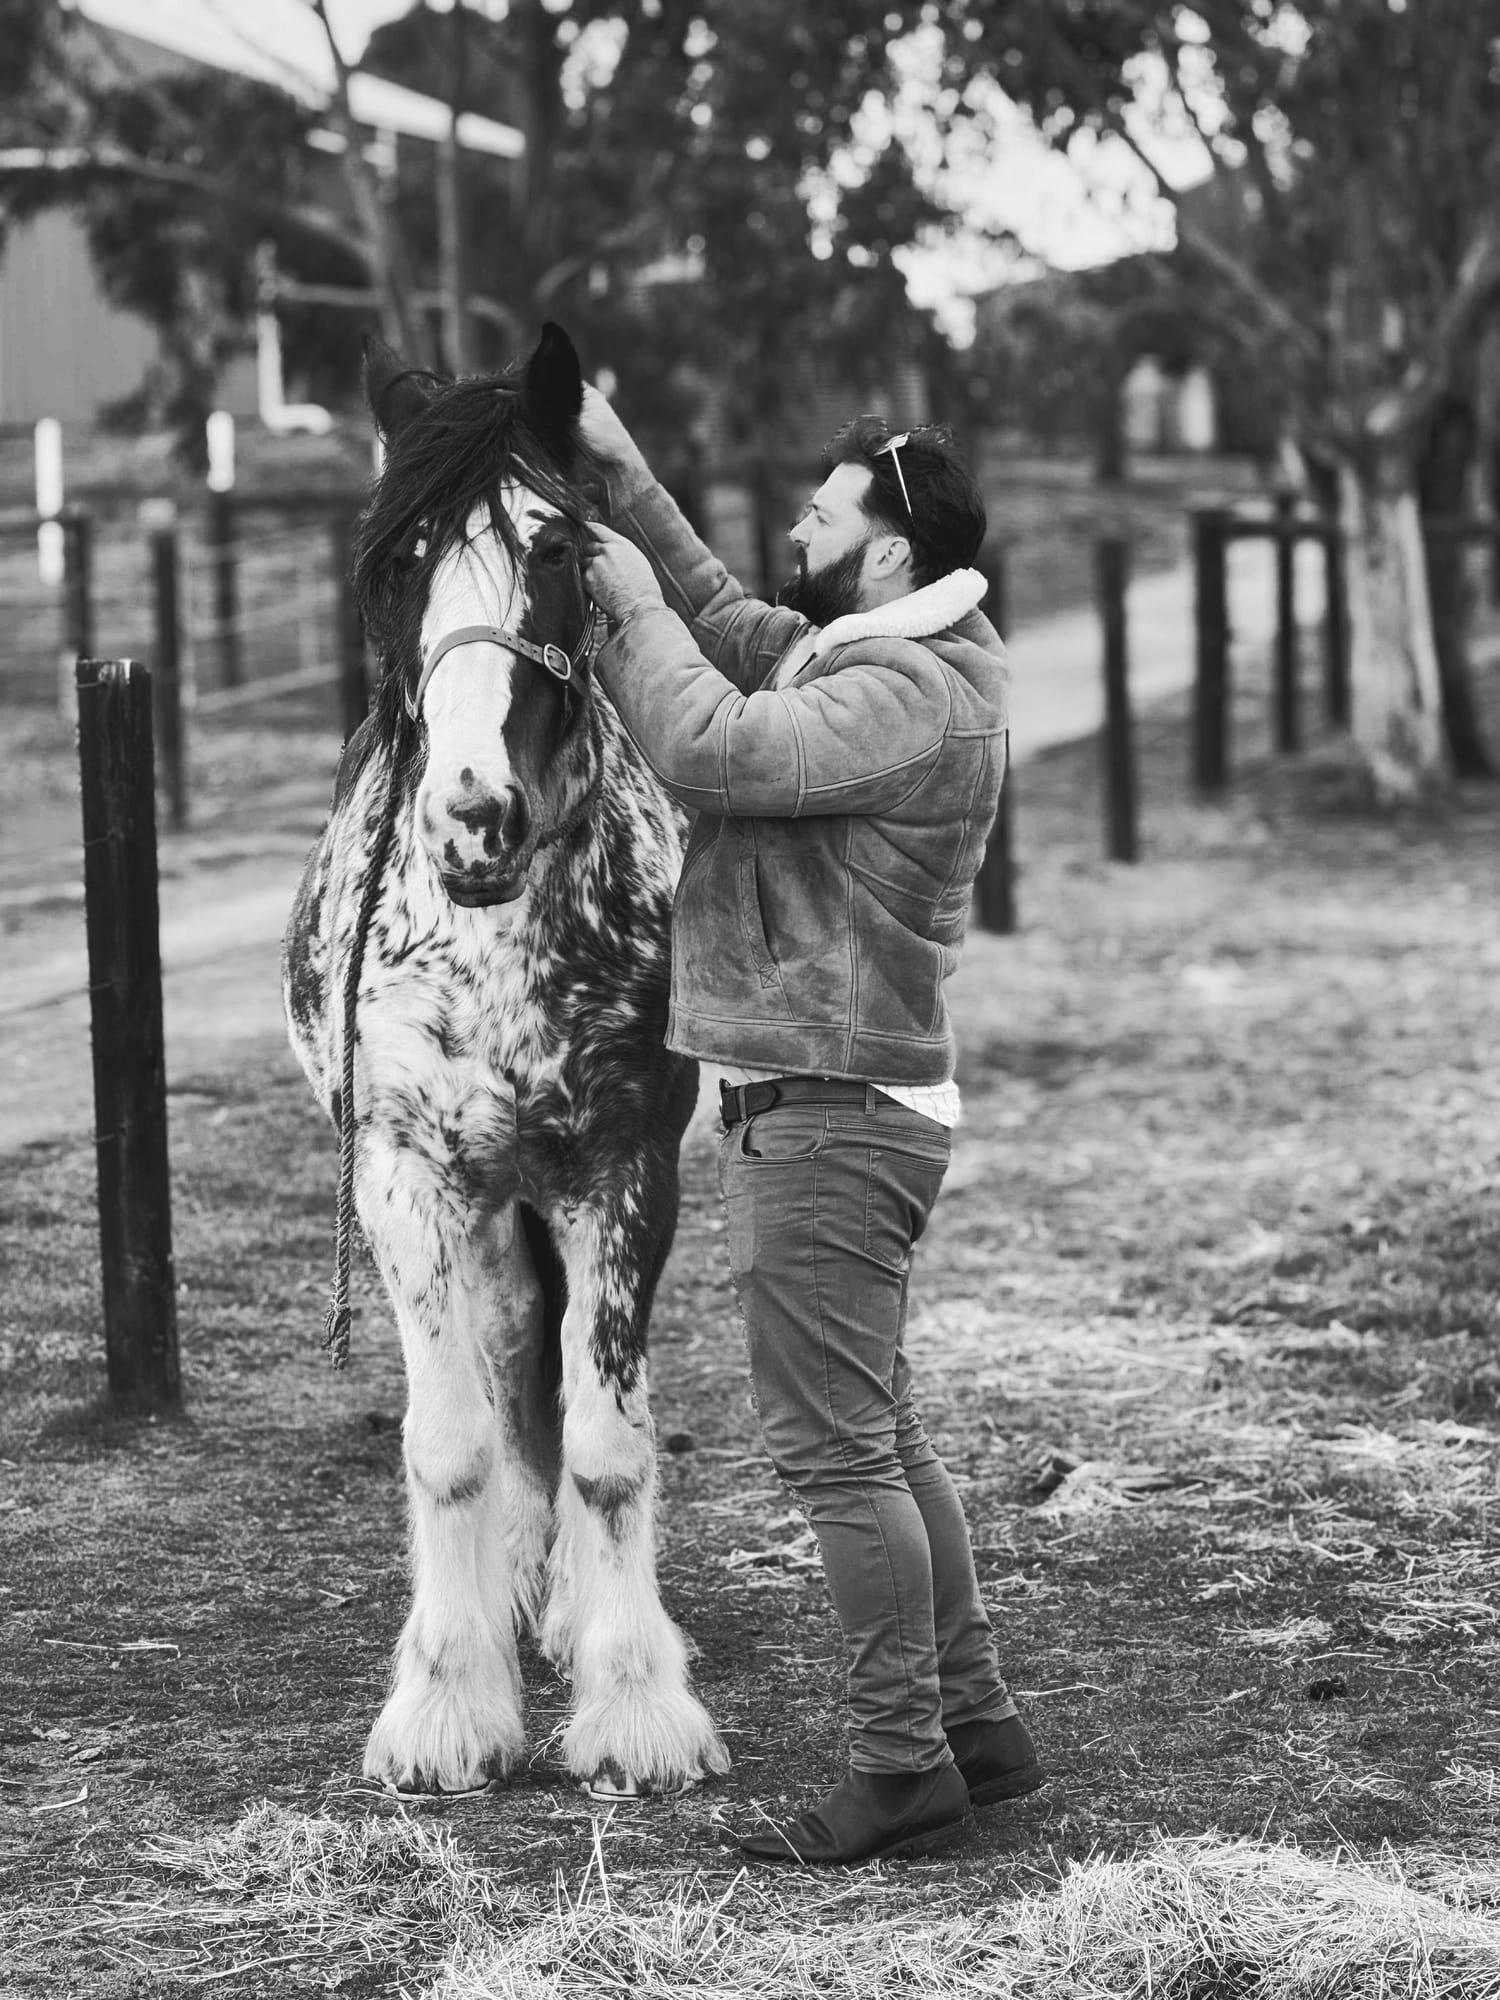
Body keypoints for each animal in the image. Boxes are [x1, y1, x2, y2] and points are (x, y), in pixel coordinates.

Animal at [281, 322, 728, 1800]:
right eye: (396, 560)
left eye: (557, 546)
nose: (475, 814)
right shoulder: (406, 1177)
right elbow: (454, 1441)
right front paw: (445, 1703)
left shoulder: (624, 1171)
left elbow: (607, 1441)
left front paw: (636, 1700)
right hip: (482, 1200)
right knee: (506, 1349)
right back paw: (517, 1592)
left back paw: (575, 1607)